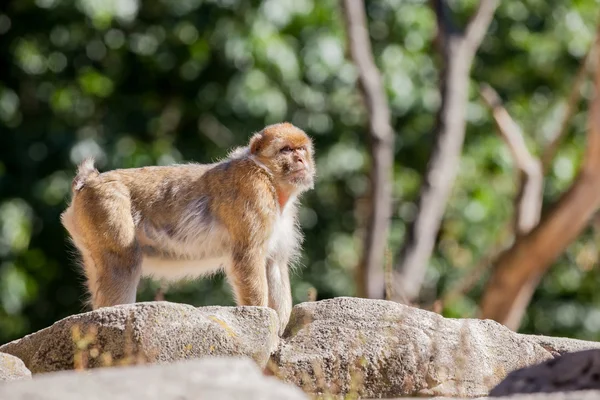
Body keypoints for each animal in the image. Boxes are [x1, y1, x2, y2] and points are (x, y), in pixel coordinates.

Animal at [59, 122, 316, 334]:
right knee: (123, 261)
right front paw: (262, 324)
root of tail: (90, 180)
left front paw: (280, 331)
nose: (301, 160)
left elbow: (274, 265)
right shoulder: (254, 192)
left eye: (301, 149)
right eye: (286, 150)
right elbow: (248, 257)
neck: (269, 176)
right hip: (106, 206)